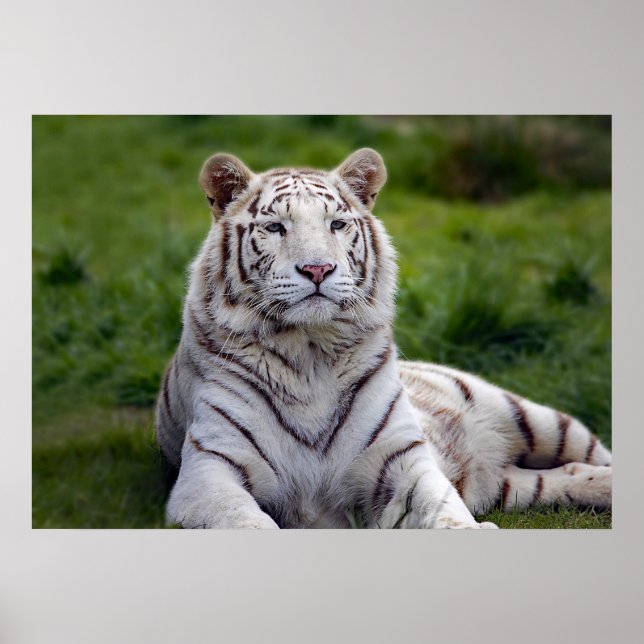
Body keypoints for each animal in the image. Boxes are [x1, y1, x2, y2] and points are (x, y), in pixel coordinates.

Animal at [155, 148, 612, 529]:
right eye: (274, 227)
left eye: (337, 224)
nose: (318, 269)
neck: (309, 352)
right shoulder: (209, 472)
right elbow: (244, 521)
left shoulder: (401, 460)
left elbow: (443, 509)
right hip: (507, 484)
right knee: (562, 475)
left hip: (533, 418)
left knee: (591, 454)